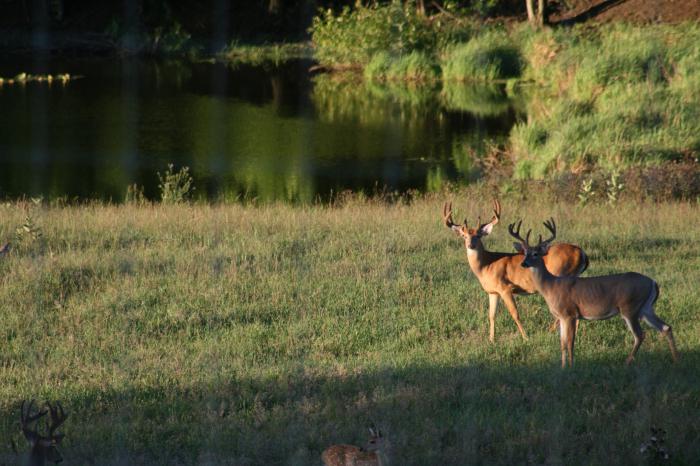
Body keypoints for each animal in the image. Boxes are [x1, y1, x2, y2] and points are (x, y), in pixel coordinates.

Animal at [442, 200, 592, 342]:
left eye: (478, 236)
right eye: (464, 236)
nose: (470, 245)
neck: (487, 265)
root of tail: (582, 253)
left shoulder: (505, 288)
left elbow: (515, 313)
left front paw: (525, 337)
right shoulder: (493, 292)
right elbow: (491, 315)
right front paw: (491, 340)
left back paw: (552, 332)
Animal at [508, 218, 680, 368]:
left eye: (536, 253)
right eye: (525, 252)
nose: (524, 263)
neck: (551, 286)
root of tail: (653, 282)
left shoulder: (570, 313)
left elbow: (570, 343)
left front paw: (571, 366)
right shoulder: (562, 317)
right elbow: (562, 344)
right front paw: (563, 367)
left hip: (630, 307)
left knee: (640, 335)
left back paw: (627, 363)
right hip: (646, 307)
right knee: (666, 327)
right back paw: (676, 359)